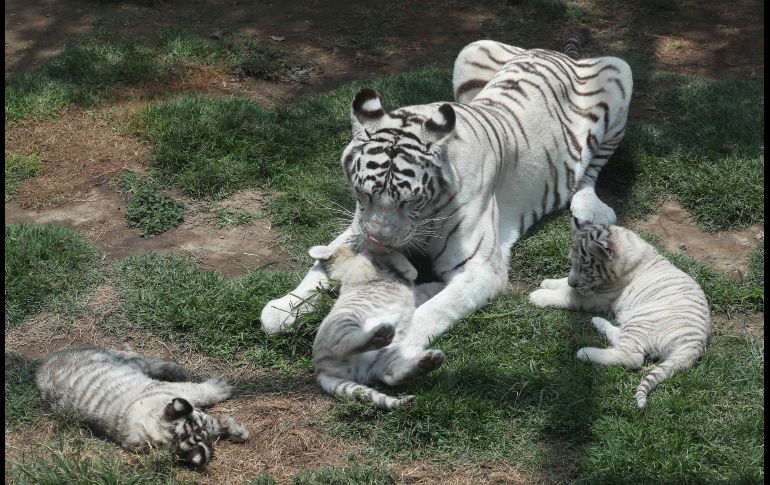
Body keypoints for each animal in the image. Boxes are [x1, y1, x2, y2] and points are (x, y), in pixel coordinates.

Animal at [35, 347, 249, 467]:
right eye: (202, 421)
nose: (209, 425)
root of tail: (41, 368)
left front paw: (236, 431)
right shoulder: (172, 390)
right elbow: (202, 392)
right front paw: (221, 389)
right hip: (122, 361)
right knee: (142, 360)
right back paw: (175, 369)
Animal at [260, 33, 633, 363]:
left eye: (410, 201)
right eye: (362, 192)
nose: (379, 243)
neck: (426, 214)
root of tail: (555, 52)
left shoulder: (480, 270)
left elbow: (434, 312)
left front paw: (394, 347)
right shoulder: (358, 227)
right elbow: (320, 264)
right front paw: (282, 307)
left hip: (619, 73)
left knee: (588, 173)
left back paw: (592, 209)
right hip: (472, 50)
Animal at [310, 242, 446, 410]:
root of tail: (320, 369)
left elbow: (425, 288)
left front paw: (441, 284)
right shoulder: (368, 261)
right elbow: (389, 254)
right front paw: (411, 271)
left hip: (386, 357)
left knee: (392, 377)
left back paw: (428, 363)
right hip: (345, 322)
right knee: (342, 346)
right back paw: (380, 334)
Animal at [528, 222, 711, 407]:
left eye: (585, 268)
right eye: (572, 263)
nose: (573, 282)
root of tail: (696, 341)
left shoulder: (597, 297)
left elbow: (569, 295)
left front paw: (538, 296)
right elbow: (565, 284)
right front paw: (549, 282)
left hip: (642, 319)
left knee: (631, 356)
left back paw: (584, 352)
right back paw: (598, 322)